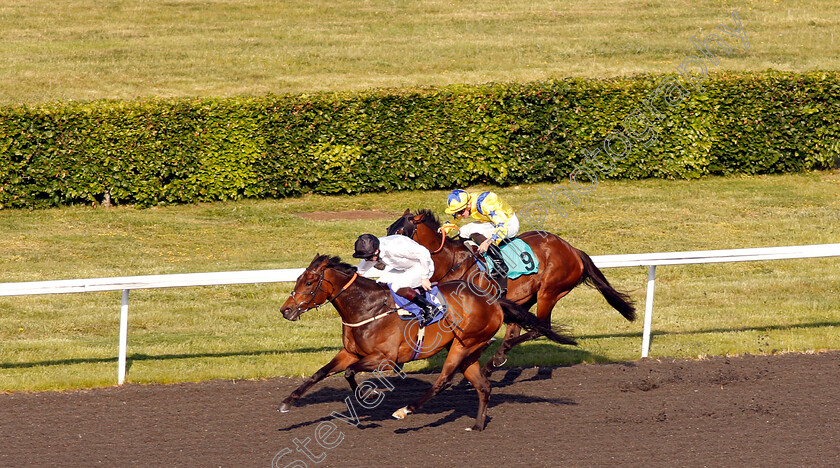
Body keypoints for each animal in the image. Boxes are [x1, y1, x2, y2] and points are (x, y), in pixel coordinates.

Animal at [278, 256, 576, 432]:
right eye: (298, 278)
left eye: (309, 281)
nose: (285, 310)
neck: (367, 308)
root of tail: (493, 300)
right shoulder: (350, 352)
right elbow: (320, 373)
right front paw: (287, 401)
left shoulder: (385, 358)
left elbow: (351, 373)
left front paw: (369, 396)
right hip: (469, 350)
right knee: (483, 386)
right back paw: (478, 425)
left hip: (463, 346)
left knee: (442, 381)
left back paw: (405, 411)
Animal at [384, 210, 632, 374]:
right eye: (388, 229)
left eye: (400, 231)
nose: (380, 258)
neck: (453, 262)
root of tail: (572, 249)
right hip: (525, 297)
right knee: (519, 328)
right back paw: (498, 357)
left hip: (549, 292)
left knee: (540, 327)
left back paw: (497, 356)